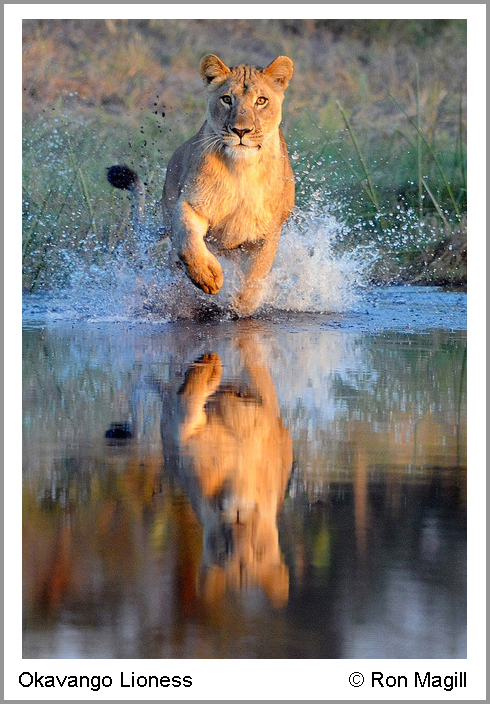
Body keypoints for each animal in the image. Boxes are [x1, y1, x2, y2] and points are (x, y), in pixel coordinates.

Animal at [108, 54, 294, 316]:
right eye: (227, 99)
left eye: (261, 101)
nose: (241, 131)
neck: (241, 169)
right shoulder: (191, 203)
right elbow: (188, 241)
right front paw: (207, 277)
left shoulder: (268, 231)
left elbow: (255, 275)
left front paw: (241, 307)